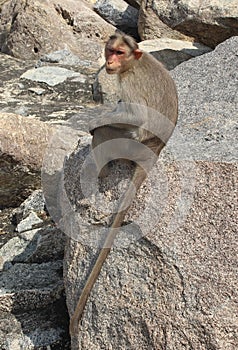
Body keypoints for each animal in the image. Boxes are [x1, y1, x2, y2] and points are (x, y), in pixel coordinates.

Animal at [69, 32, 178, 336]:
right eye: (110, 50)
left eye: (119, 52)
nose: (109, 62)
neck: (132, 64)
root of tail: (155, 150)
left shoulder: (129, 82)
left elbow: (134, 116)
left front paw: (95, 118)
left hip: (130, 144)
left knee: (106, 132)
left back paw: (97, 178)